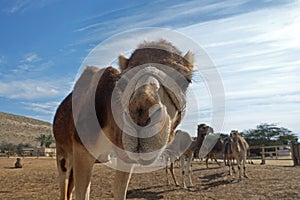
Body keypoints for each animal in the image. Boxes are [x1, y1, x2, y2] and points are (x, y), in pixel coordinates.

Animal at [53, 39, 195, 200]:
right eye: (123, 81)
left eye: (186, 81)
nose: (140, 114)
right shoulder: (81, 150)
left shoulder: (125, 156)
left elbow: (119, 191)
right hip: (62, 152)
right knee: (64, 183)